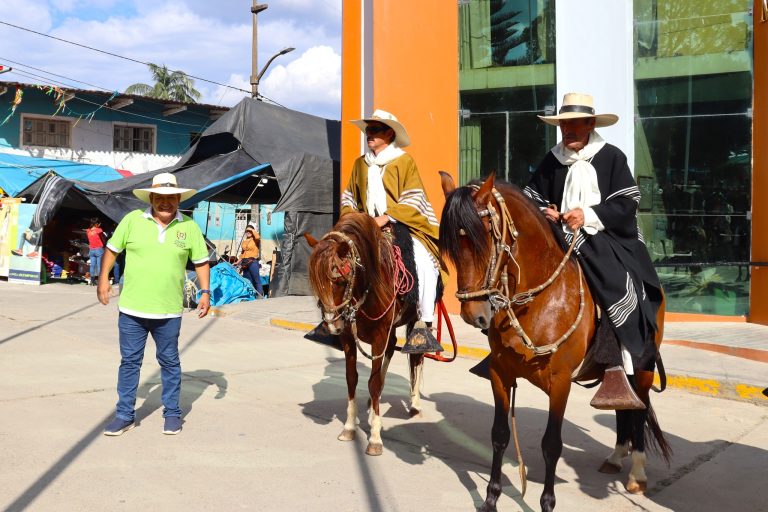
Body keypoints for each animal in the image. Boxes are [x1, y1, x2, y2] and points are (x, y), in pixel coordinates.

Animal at [306, 212, 426, 456]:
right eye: (315, 281)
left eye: (340, 280)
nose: (332, 325)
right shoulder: (348, 338)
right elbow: (352, 378)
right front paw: (349, 427)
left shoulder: (379, 335)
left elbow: (373, 382)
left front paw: (375, 439)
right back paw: (373, 406)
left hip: (419, 318)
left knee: (417, 357)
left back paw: (415, 404)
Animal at [440, 173, 668, 512]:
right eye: (453, 247)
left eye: (485, 239)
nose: (474, 315)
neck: (539, 302)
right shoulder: (500, 374)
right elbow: (499, 435)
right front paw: (491, 498)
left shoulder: (560, 382)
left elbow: (551, 444)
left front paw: (547, 503)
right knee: (623, 405)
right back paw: (616, 456)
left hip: (642, 366)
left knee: (639, 409)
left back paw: (637, 473)